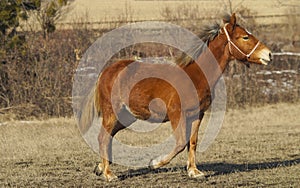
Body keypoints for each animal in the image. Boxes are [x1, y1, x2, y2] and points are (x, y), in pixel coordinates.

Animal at [77, 13, 272, 181]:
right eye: (245, 37)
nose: (268, 54)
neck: (196, 75)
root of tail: (106, 71)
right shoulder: (176, 114)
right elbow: (180, 143)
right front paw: (154, 163)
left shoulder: (197, 114)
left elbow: (192, 142)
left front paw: (194, 172)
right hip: (113, 112)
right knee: (103, 137)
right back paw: (109, 174)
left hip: (127, 116)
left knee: (108, 137)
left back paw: (100, 168)